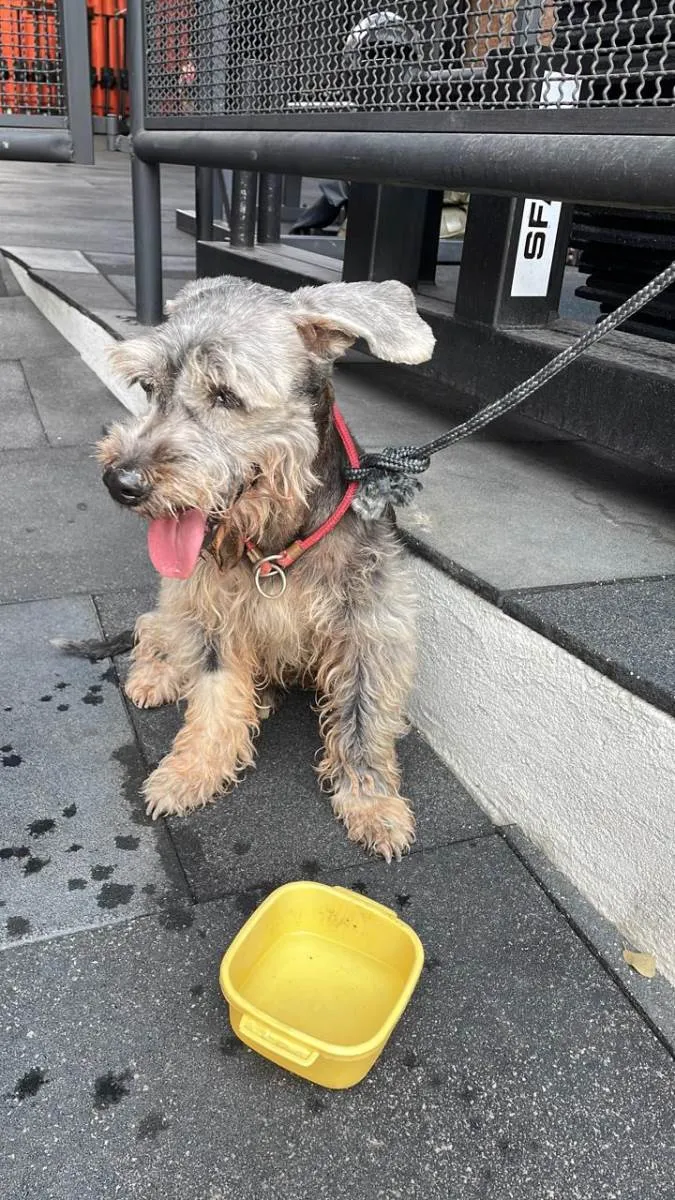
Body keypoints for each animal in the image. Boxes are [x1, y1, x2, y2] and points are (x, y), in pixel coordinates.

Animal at [93, 278, 429, 864]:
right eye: (149, 387)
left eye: (226, 395)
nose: (121, 482)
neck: (278, 538)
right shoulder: (211, 614)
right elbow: (211, 698)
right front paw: (192, 771)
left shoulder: (372, 624)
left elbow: (363, 717)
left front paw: (372, 803)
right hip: (176, 600)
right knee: (153, 626)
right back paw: (156, 673)